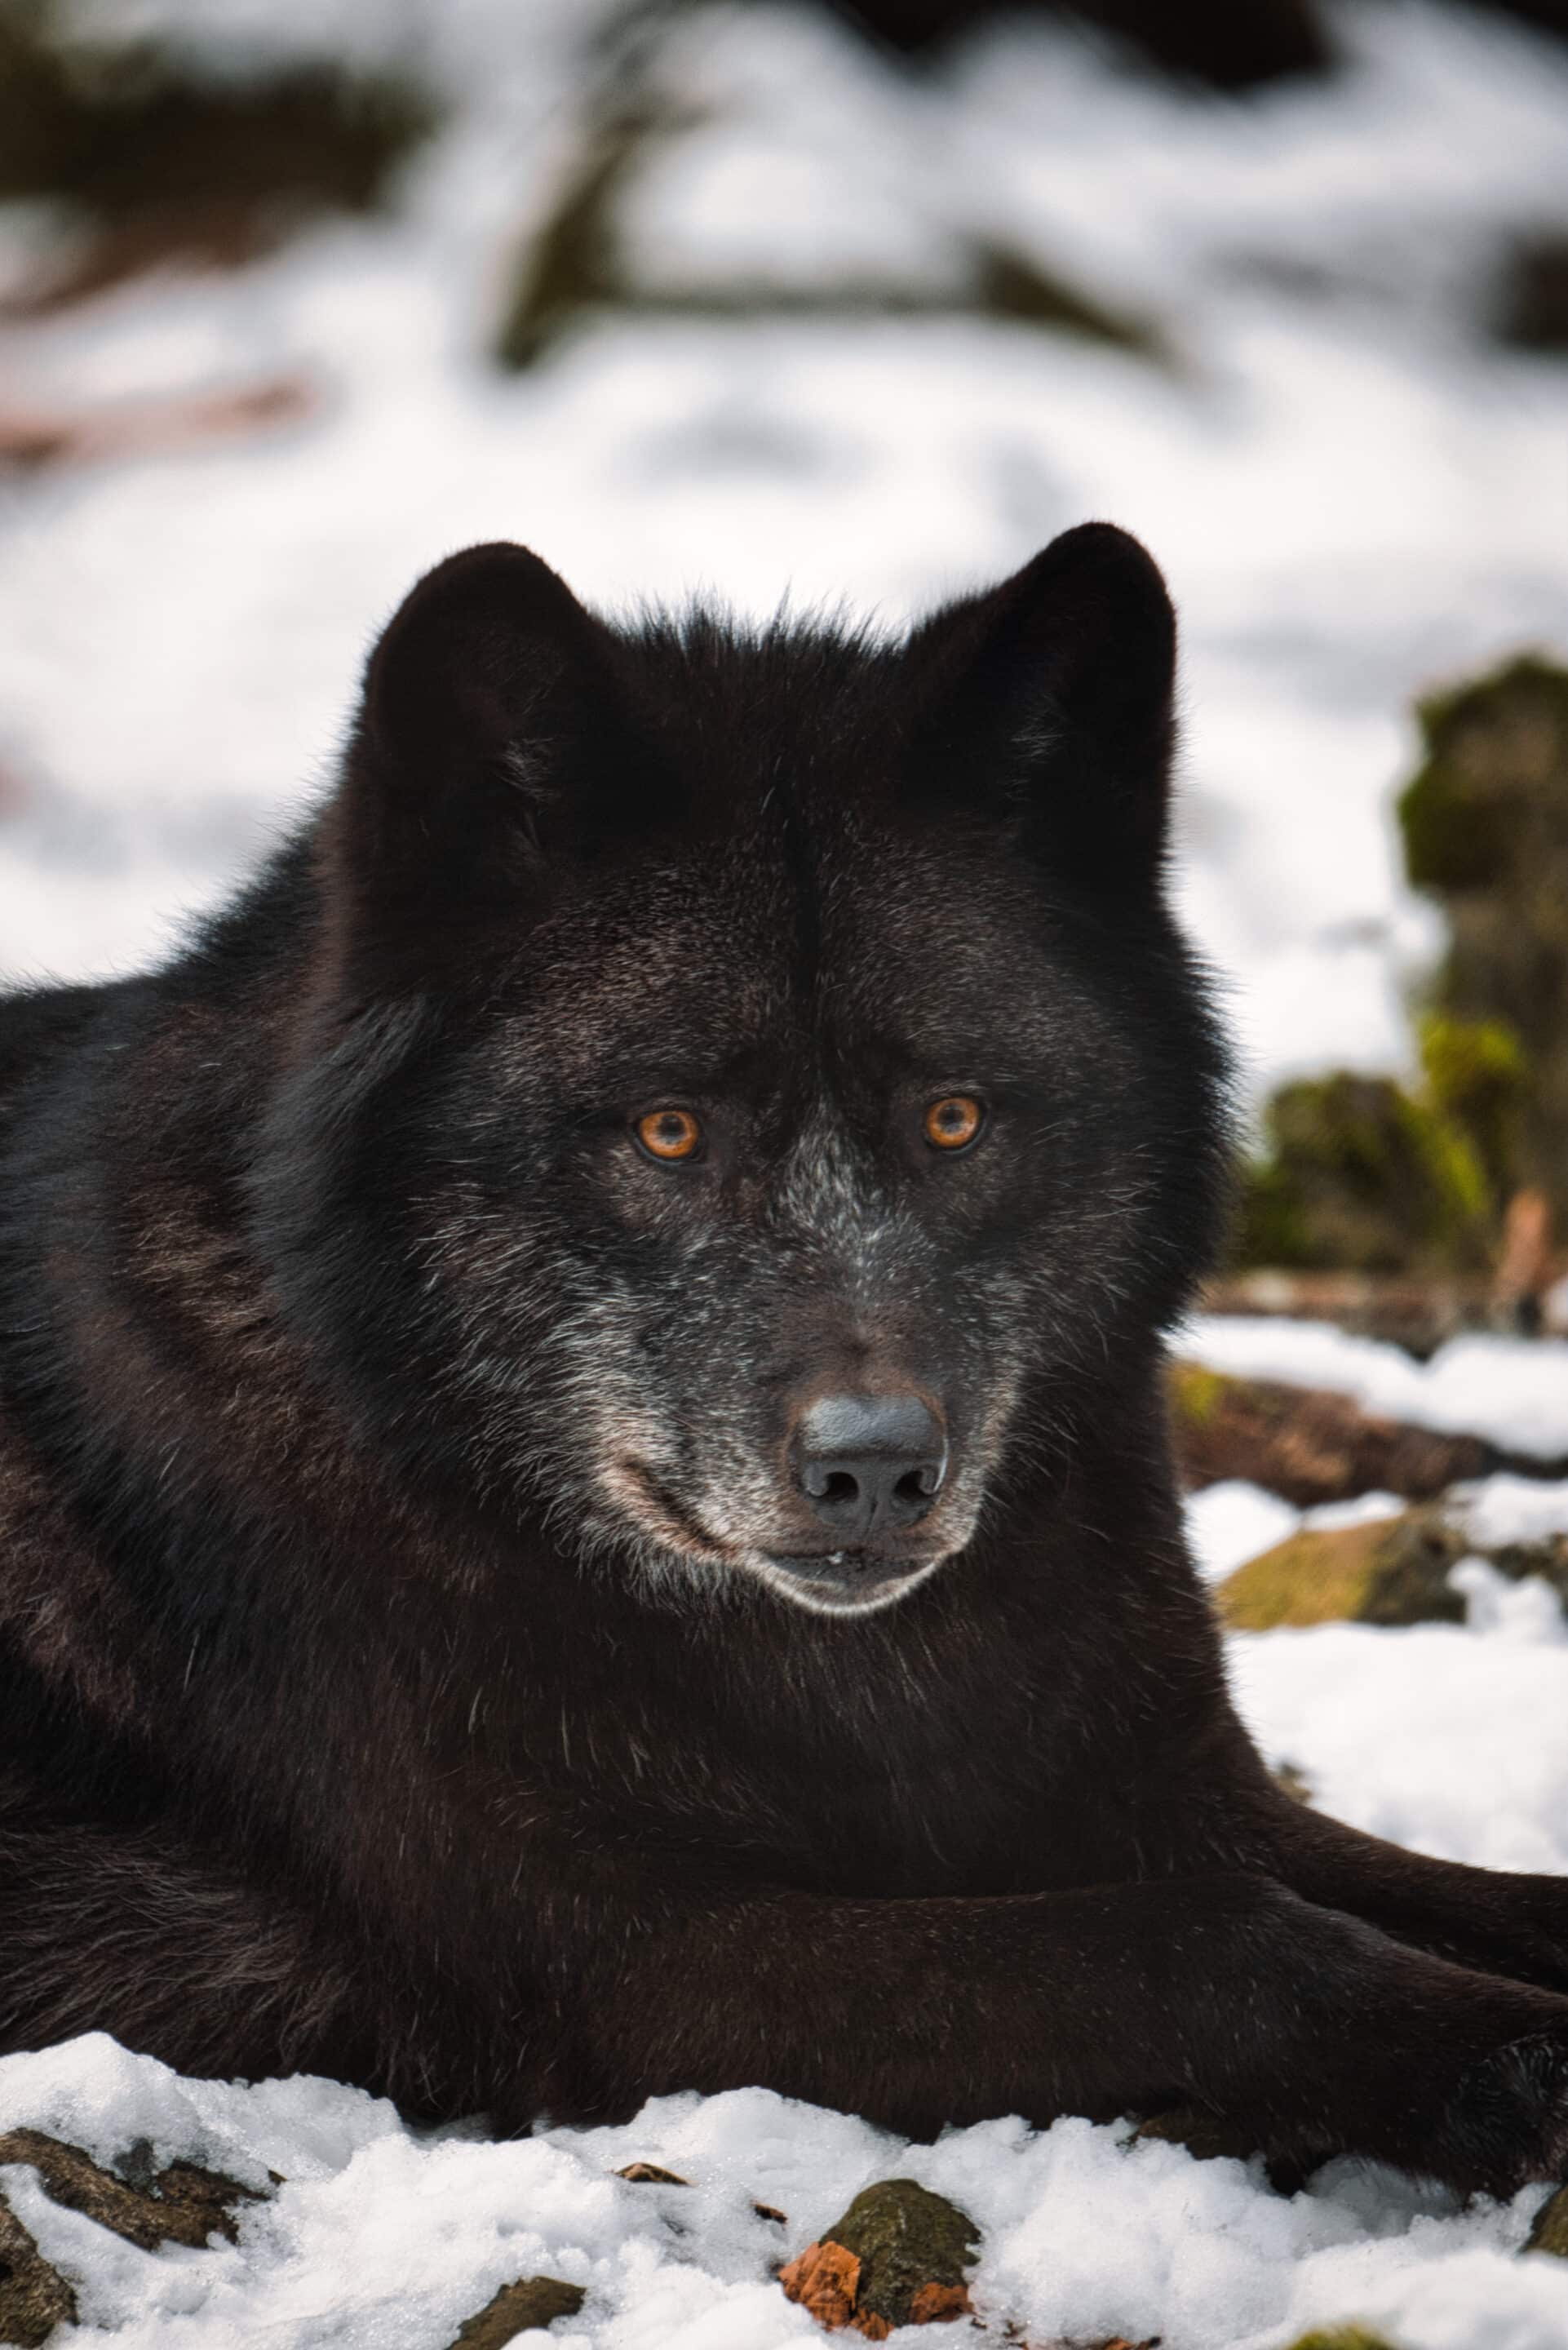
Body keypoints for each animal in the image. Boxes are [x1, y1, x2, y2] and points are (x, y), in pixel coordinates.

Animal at [3, 522, 1568, 2194]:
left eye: (951, 1117)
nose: (874, 1466)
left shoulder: (1174, 1789)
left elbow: (1475, 1893)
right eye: (667, 1130)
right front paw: (1510, 2058)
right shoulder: (635, 1975)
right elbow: (1219, 1941)